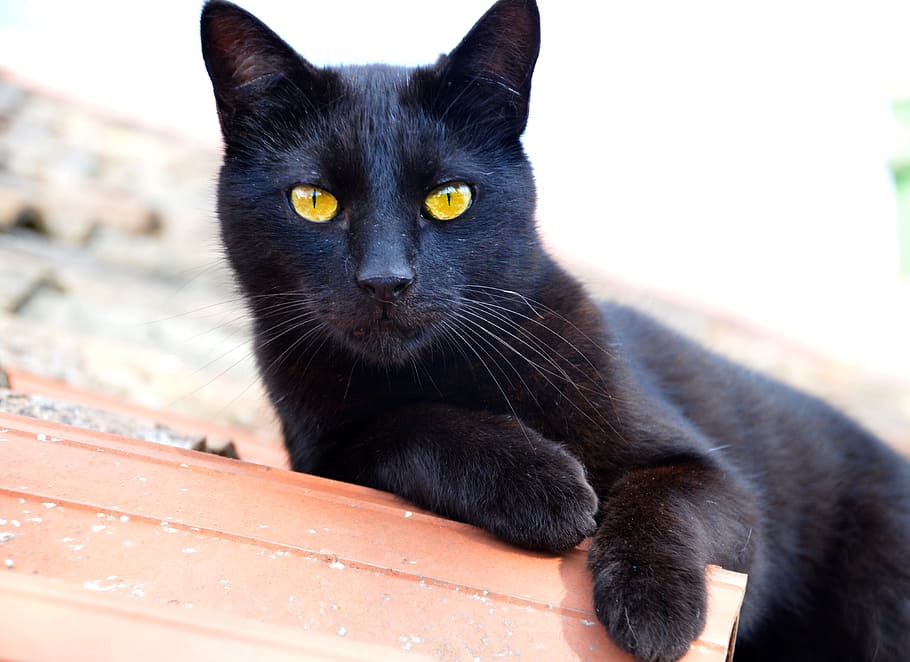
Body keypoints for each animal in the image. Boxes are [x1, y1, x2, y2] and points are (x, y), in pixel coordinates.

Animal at [201, 2, 910, 660]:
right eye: (313, 201)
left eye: (449, 198)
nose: (384, 278)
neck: (440, 367)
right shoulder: (325, 456)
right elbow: (406, 425)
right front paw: (543, 484)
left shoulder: (722, 487)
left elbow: (664, 494)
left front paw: (653, 606)